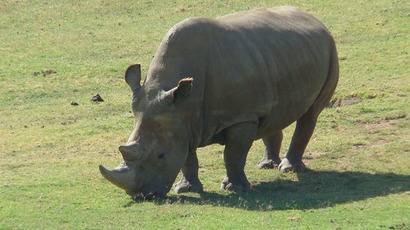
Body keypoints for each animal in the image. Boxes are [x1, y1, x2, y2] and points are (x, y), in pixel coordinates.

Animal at [100, 6, 340, 199]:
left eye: (161, 155)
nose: (142, 195)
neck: (183, 104)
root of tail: (316, 20)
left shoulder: (240, 118)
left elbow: (233, 154)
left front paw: (235, 189)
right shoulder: (181, 121)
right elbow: (187, 157)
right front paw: (186, 189)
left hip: (330, 49)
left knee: (310, 114)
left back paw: (289, 169)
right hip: (280, 56)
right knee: (272, 114)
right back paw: (266, 165)